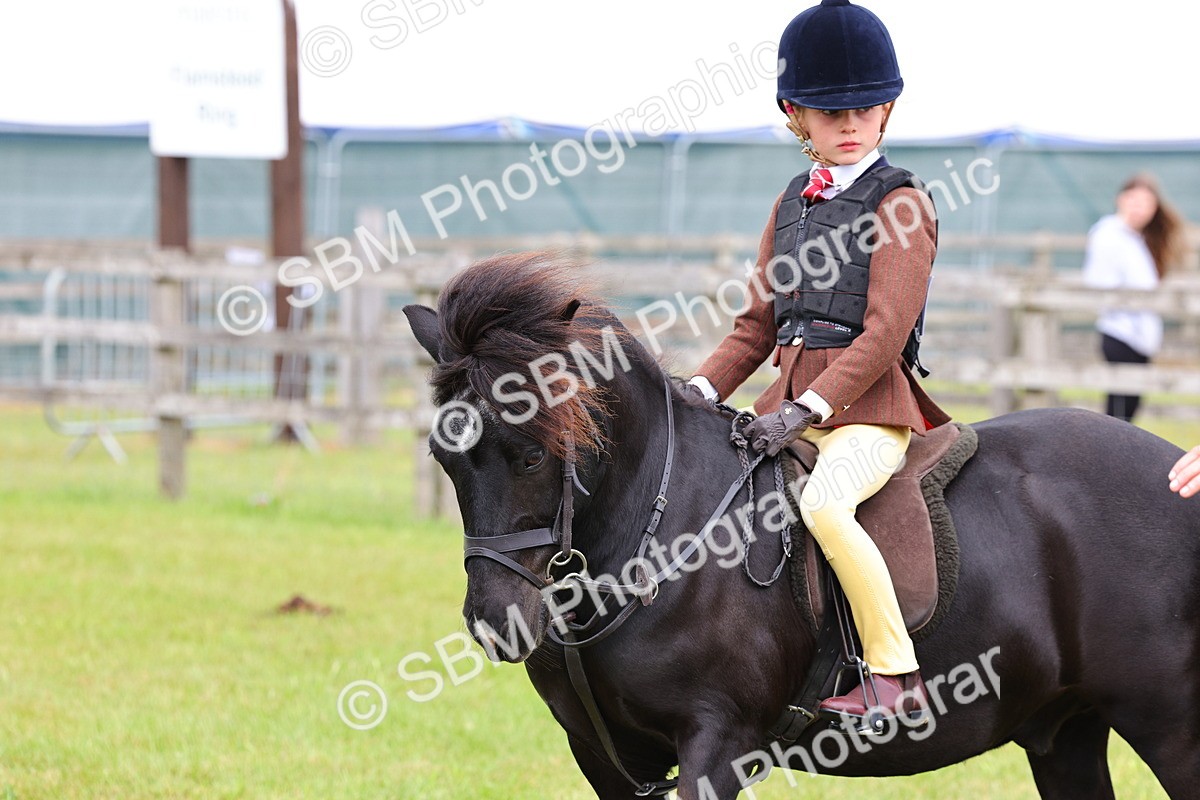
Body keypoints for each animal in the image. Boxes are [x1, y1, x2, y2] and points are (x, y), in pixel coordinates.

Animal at [403, 252, 1200, 799]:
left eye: (533, 453)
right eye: (446, 453)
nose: (496, 622)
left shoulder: (717, 746)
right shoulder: (607, 760)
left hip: (1170, 726)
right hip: (1067, 732)